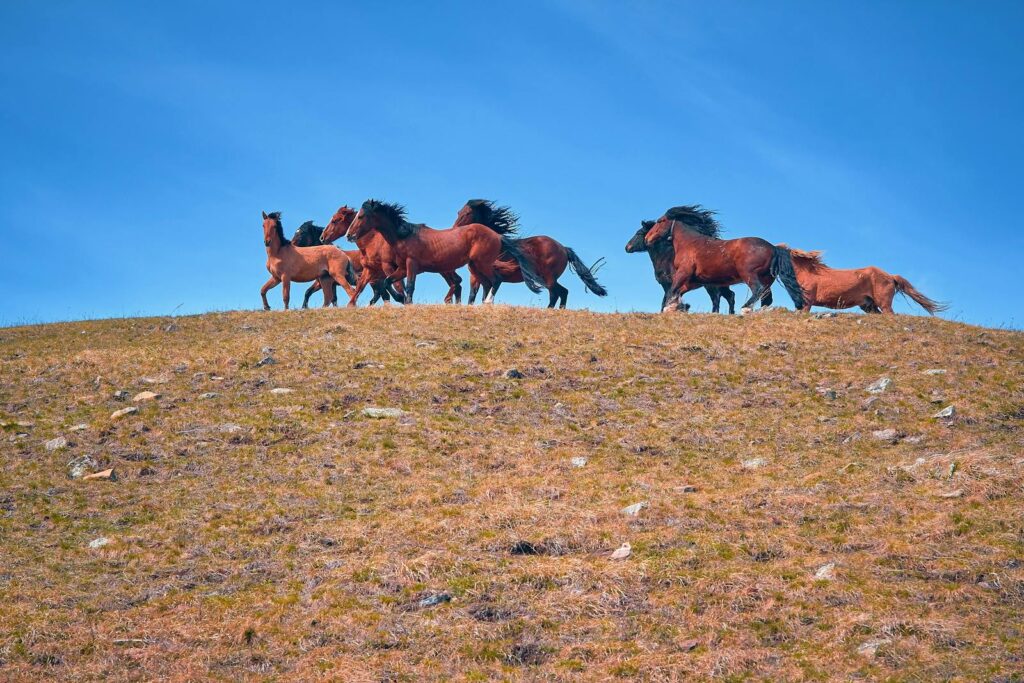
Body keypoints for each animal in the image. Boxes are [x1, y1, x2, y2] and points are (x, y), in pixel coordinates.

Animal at [345, 199, 544, 304]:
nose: (349, 235)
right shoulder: (401, 268)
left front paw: (406, 301)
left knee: (496, 280)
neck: (405, 236)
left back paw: (487, 302)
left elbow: (409, 286)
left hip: (482, 263)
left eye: (361, 216)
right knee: (487, 283)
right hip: (475, 266)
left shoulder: (412, 265)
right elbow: (387, 282)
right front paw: (400, 299)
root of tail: (497, 235)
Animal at [452, 199, 608, 308]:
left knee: (555, 294)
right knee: (563, 292)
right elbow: (472, 296)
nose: (454, 229)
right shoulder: (475, 277)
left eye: (467, 213)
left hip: (548, 278)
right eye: (458, 212)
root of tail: (563, 248)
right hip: (550, 278)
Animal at [643, 205, 806, 312]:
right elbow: (677, 292)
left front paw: (670, 308)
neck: (690, 244)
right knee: (766, 297)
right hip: (767, 278)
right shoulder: (694, 281)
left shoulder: (684, 273)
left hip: (749, 274)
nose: (646, 239)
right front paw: (678, 307)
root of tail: (773, 247)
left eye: (661, 221)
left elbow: (673, 290)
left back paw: (745, 309)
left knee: (757, 290)